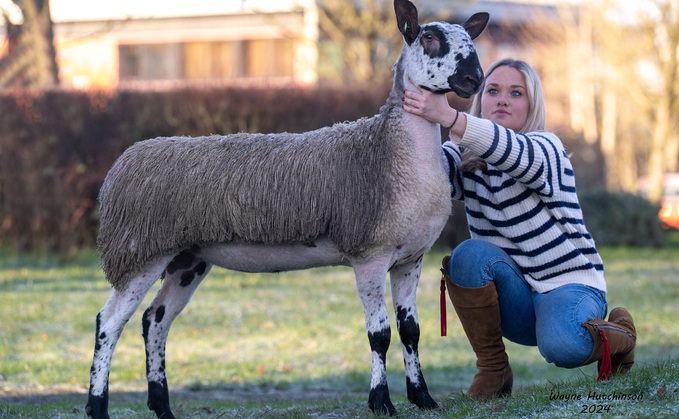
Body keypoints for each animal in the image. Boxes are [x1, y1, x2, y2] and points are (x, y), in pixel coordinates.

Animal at [85, 1, 488, 418]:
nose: (474, 78)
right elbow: (379, 335)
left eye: (470, 38)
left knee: (155, 320)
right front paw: (381, 402)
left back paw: (162, 406)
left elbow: (411, 331)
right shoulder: (369, 256)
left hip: (187, 259)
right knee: (109, 322)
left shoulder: (410, 259)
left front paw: (423, 397)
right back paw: (98, 407)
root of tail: (121, 164)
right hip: (139, 250)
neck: (392, 150)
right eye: (430, 38)